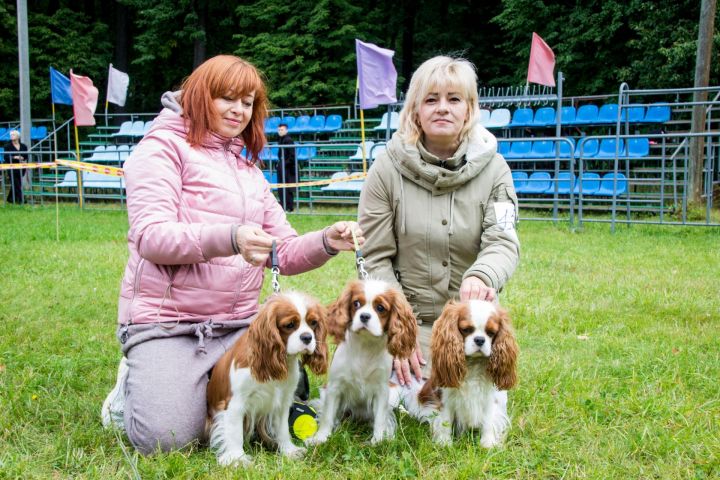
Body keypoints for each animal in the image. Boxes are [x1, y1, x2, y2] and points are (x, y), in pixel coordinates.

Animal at [207, 292, 328, 464]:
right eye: (290, 325)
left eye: (313, 323)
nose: (307, 337)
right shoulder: (235, 403)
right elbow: (234, 432)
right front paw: (237, 459)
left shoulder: (283, 401)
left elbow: (282, 429)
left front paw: (288, 451)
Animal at [304, 280, 416, 444]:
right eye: (356, 303)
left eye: (380, 308)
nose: (364, 316)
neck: (365, 345)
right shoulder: (334, 387)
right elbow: (328, 415)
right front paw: (321, 438)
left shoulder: (382, 390)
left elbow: (380, 418)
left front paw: (378, 440)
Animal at [404, 300, 516, 446]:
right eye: (466, 329)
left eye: (491, 333)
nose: (480, 339)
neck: (473, 363)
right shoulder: (445, 398)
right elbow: (445, 420)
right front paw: (444, 443)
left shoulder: (490, 399)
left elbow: (488, 421)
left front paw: (487, 444)